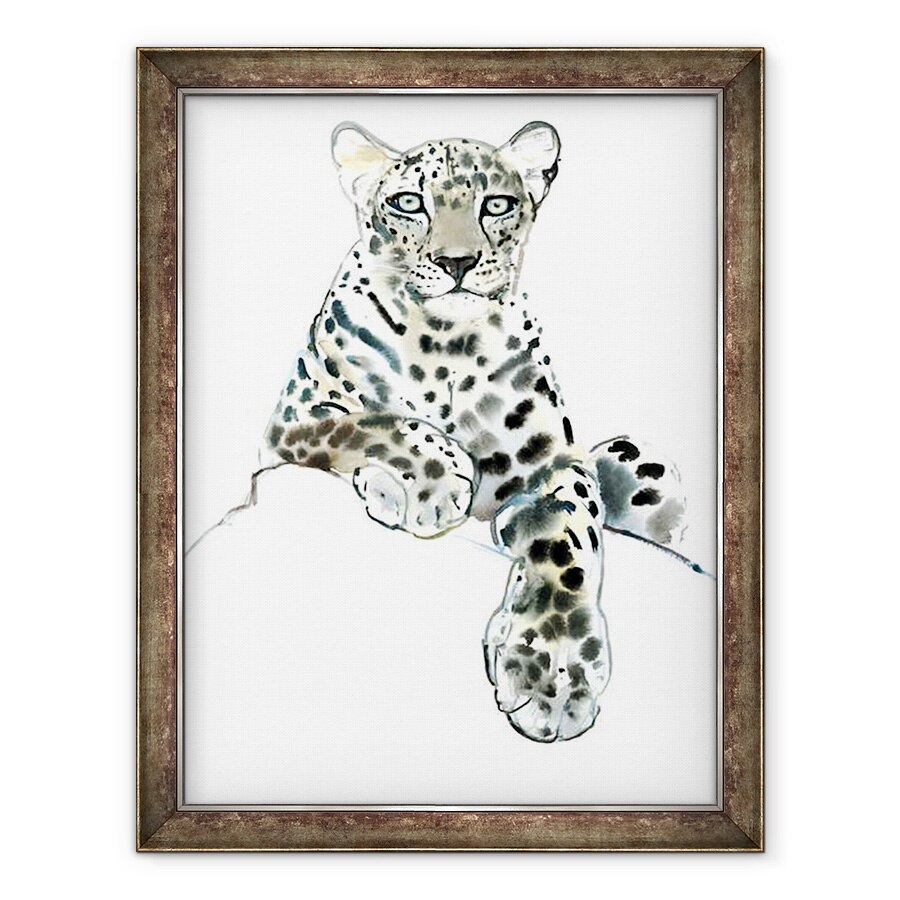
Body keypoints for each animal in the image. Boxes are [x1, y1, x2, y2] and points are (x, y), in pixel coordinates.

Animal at [259, 121, 690, 742]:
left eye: (497, 204)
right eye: (408, 203)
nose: (457, 261)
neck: (444, 343)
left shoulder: (554, 461)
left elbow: (568, 528)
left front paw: (554, 670)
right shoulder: (293, 420)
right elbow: (376, 422)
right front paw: (434, 490)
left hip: (642, 466)